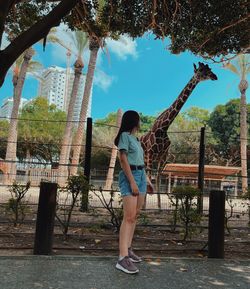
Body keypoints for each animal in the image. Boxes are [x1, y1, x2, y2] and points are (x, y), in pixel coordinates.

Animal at [142, 62, 218, 207]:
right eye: (201, 70)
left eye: (209, 69)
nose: (215, 76)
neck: (163, 127)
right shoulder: (150, 152)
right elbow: (149, 175)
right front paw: (143, 207)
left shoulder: (163, 155)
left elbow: (158, 177)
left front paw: (159, 207)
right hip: (145, 155)